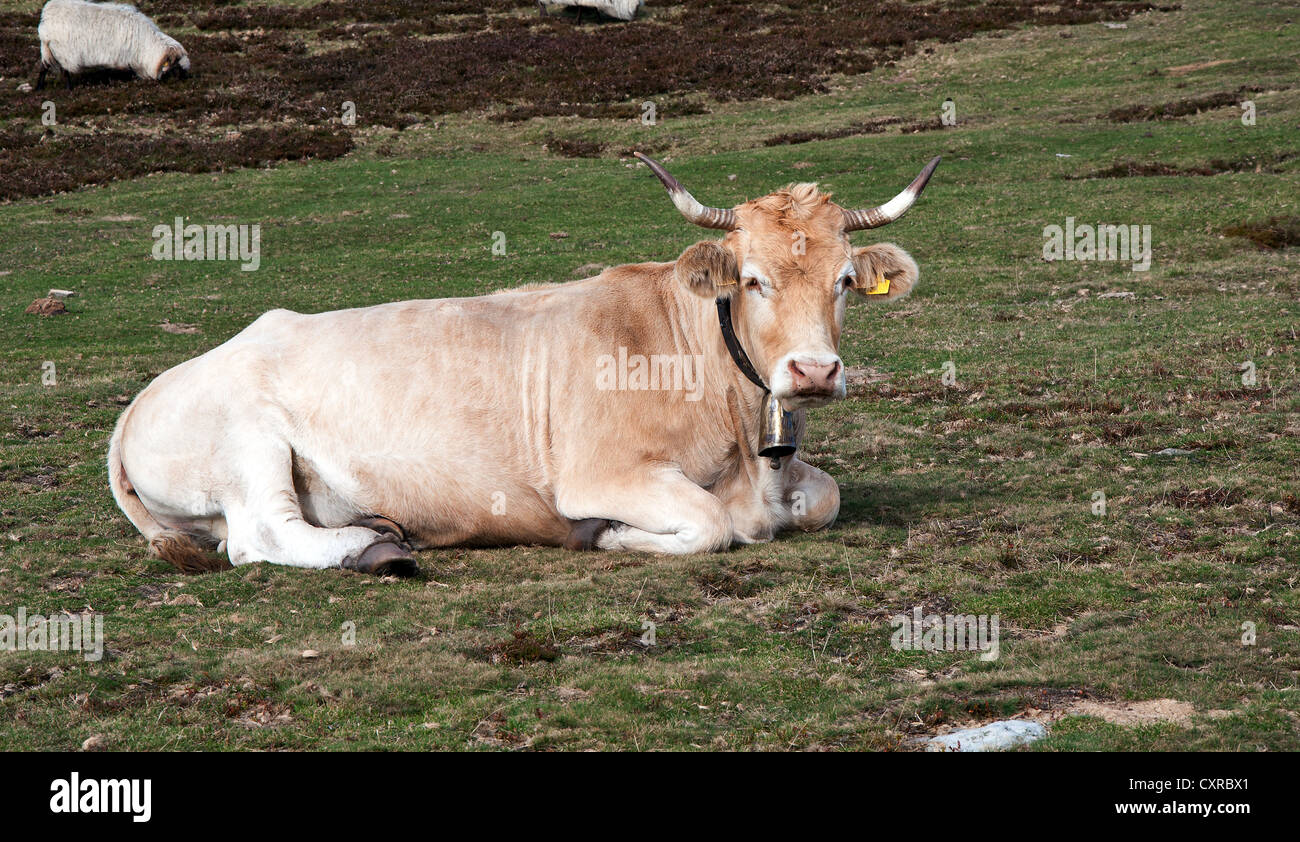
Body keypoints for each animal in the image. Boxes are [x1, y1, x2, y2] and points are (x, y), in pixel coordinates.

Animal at [108, 153, 940, 576]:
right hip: (249, 444)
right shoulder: (602, 473)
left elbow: (825, 496)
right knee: (261, 538)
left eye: (843, 281)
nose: (813, 371)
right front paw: (607, 536)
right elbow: (710, 525)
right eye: (756, 280)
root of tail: (144, 398)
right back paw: (377, 548)